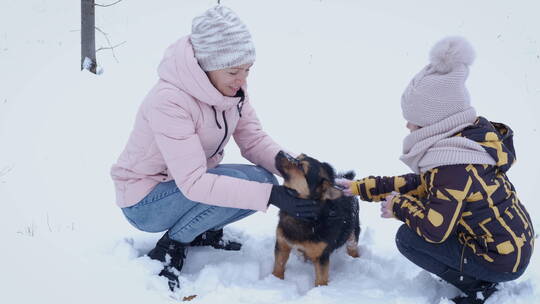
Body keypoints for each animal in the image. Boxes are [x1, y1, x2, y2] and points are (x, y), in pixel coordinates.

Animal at [272, 152, 360, 288]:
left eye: (301, 167)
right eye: (298, 157)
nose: (280, 152)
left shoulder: (322, 256)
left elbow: (321, 281)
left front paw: (319, 290)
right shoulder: (282, 245)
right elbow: (278, 267)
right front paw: (274, 281)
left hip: (352, 231)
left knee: (352, 245)